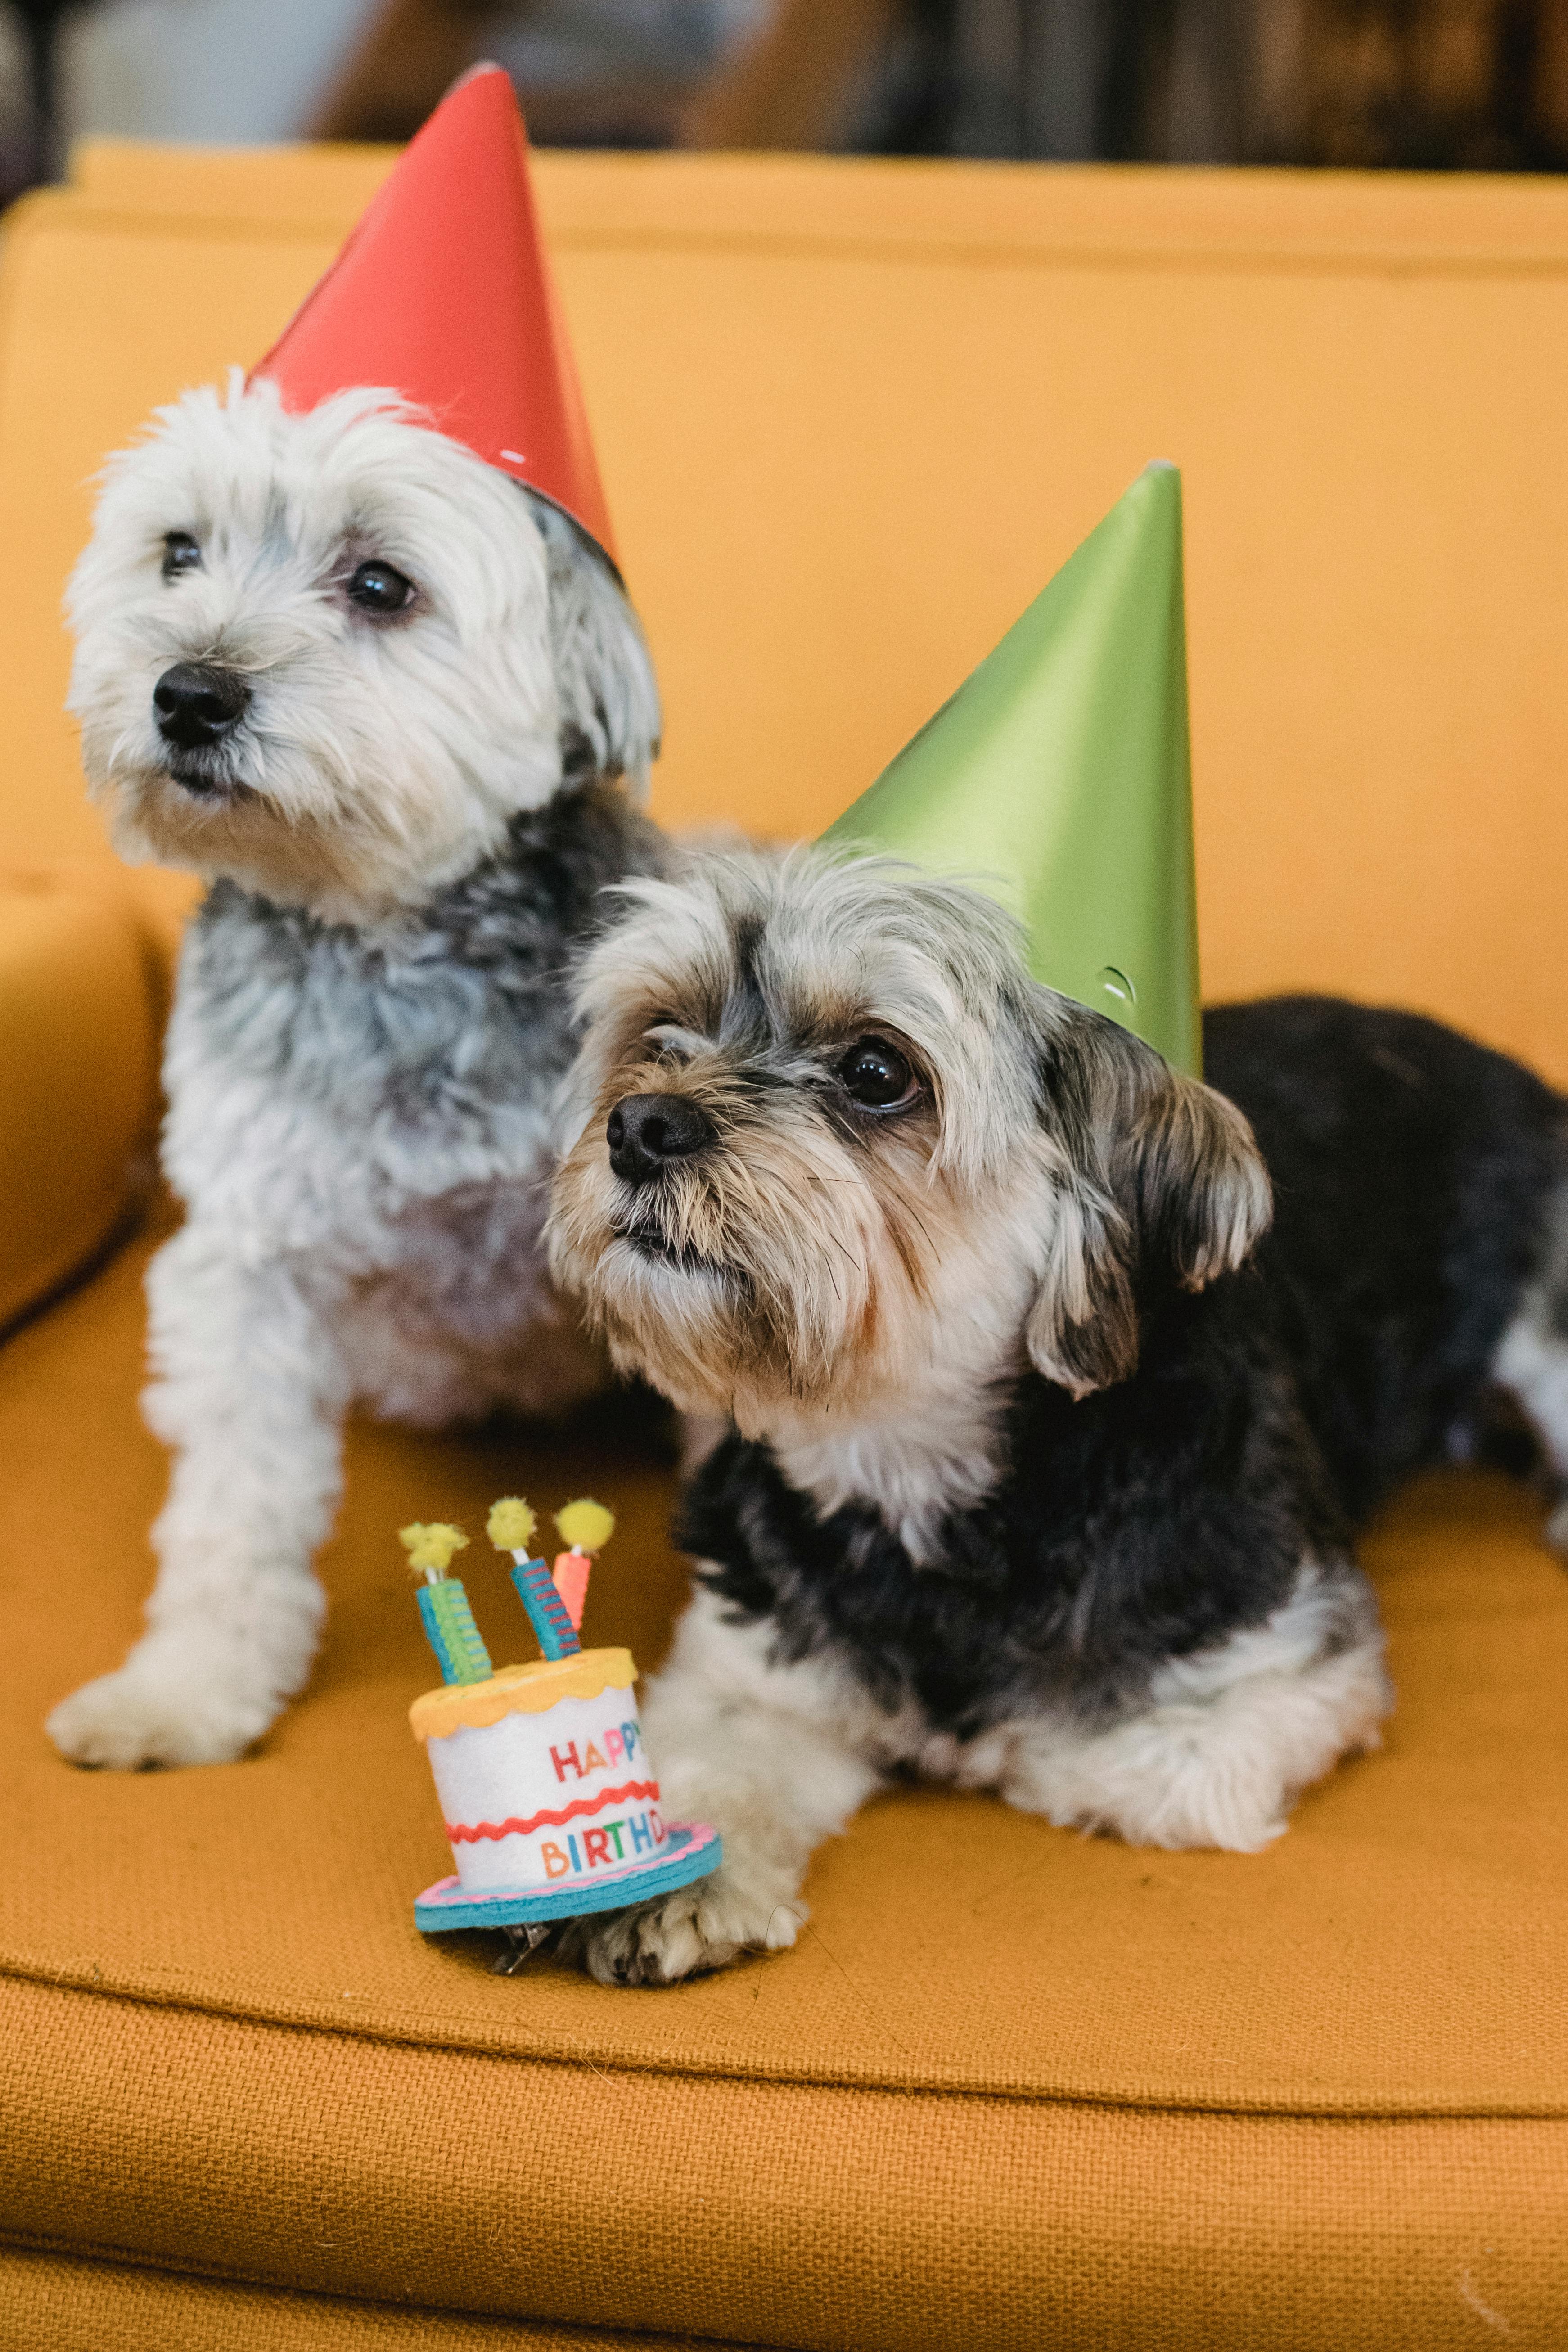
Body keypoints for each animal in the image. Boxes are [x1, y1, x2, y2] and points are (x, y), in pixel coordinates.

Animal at [49, 371, 658, 1768]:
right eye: (178, 551)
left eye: (381, 584)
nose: (187, 694)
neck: (389, 948)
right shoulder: (245, 1266)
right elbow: (232, 1511)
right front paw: (188, 1690)